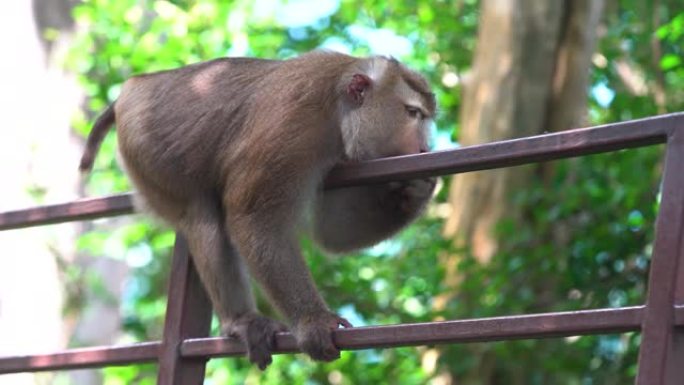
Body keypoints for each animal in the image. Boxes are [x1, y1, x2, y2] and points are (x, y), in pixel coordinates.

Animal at [79, 49, 432, 368]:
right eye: (413, 113)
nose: (425, 148)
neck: (337, 109)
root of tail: (132, 87)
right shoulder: (293, 128)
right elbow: (255, 220)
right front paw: (313, 322)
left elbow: (332, 234)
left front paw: (414, 191)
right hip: (146, 143)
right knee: (203, 215)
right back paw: (241, 320)